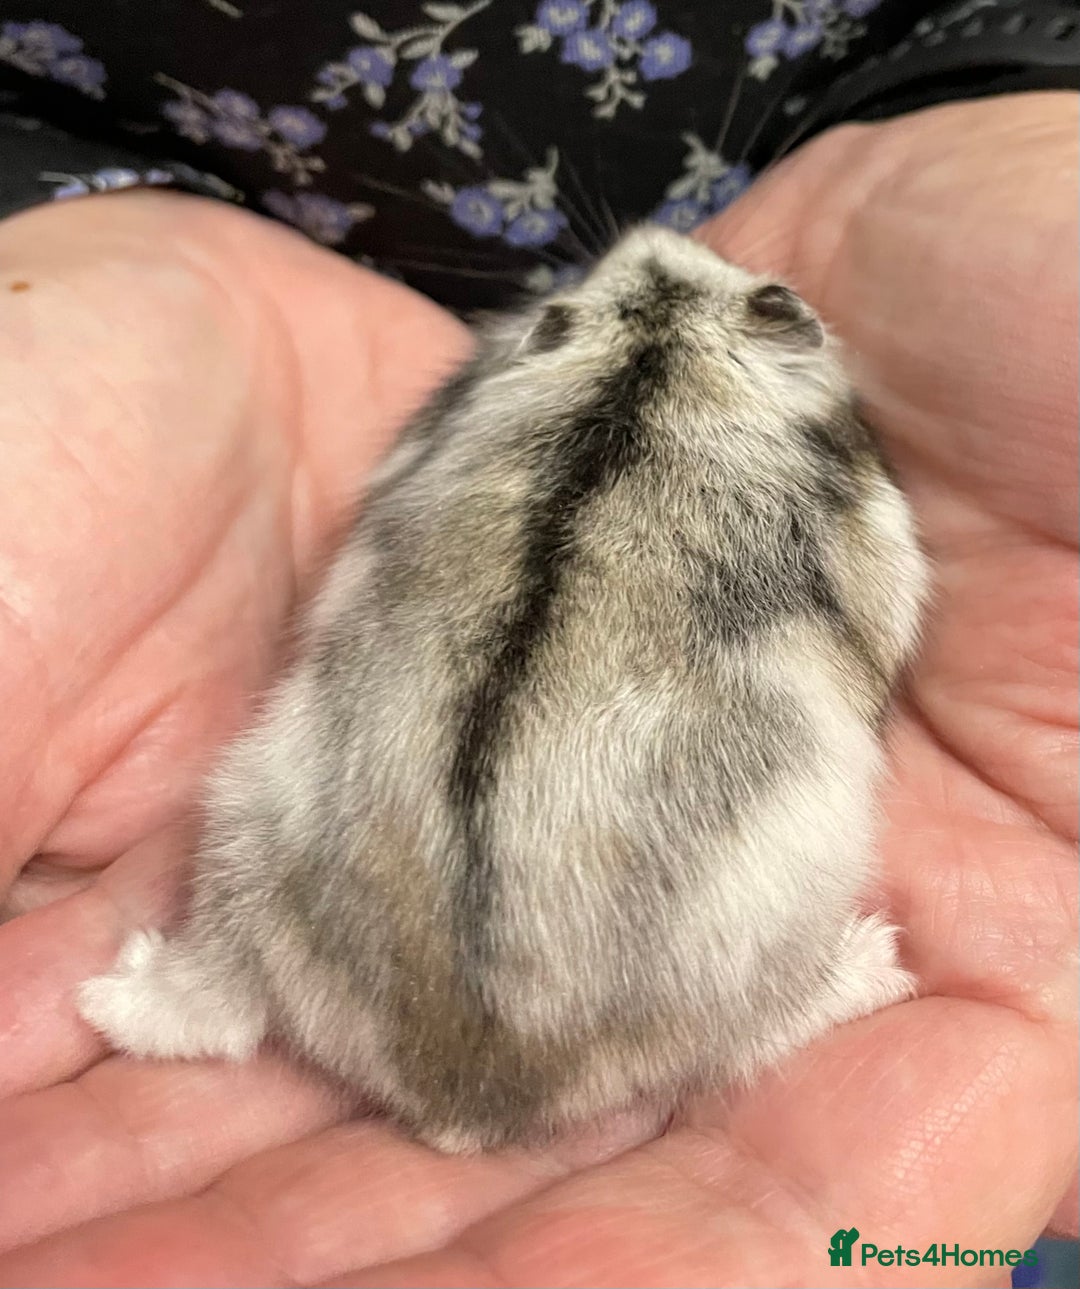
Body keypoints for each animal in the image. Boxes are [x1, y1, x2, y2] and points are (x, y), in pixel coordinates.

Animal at [78, 225, 928, 1153]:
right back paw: (876, 961)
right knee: (758, 1030)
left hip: (240, 817)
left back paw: (106, 994)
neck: (650, 361)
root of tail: (459, 1099)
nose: (652, 234)